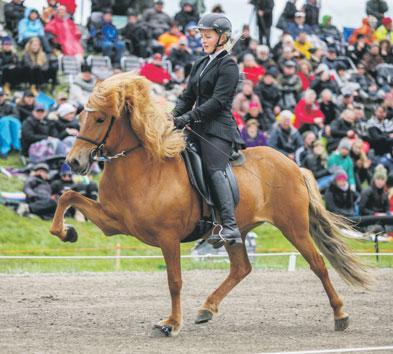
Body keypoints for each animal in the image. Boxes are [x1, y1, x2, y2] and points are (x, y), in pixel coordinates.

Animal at [49, 74, 370, 338]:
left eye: (101, 119)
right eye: (82, 117)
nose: (74, 162)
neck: (144, 168)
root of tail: (293, 165)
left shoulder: (168, 237)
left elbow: (174, 280)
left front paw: (171, 324)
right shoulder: (113, 223)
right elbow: (68, 196)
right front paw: (67, 232)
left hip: (294, 227)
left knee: (318, 265)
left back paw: (341, 315)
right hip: (237, 231)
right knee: (242, 268)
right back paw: (206, 309)